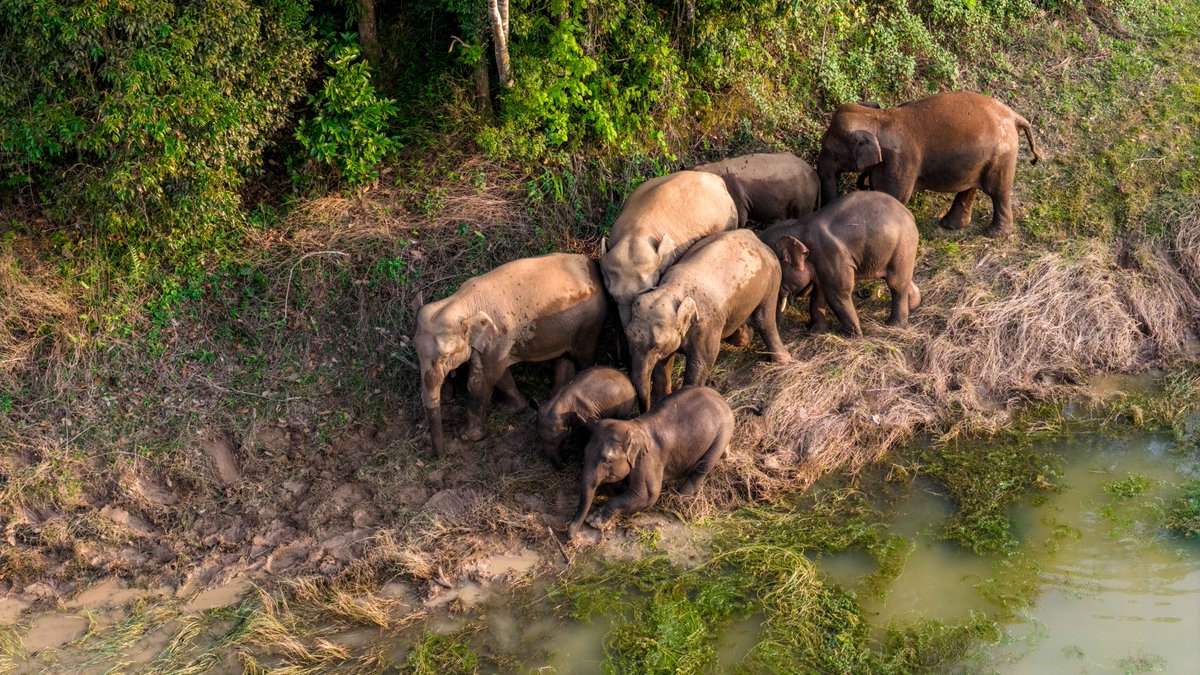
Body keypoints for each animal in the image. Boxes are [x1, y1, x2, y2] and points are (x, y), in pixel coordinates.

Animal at [414, 253, 607, 457]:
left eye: (444, 357)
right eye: (416, 352)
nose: (440, 455)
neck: (460, 302)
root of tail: (592, 264)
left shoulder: (498, 336)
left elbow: (481, 379)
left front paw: (468, 437)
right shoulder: (494, 343)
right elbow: (498, 374)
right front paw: (515, 408)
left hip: (591, 321)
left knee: (583, 357)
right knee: (566, 357)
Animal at [567, 386, 734, 535]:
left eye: (606, 459)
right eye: (585, 453)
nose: (571, 536)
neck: (633, 426)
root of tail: (722, 399)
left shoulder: (648, 461)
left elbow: (647, 496)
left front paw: (594, 520)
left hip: (723, 431)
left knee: (704, 465)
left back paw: (681, 496)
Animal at [626, 229, 792, 410]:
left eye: (657, 346)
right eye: (628, 335)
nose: (645, 410)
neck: (672, 289)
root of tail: (755, 237)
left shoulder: (707, 324)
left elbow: (703, 361)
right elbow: (664, 364)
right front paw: (663, 399)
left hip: (772, 277)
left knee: (763, 320)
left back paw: (784, 362)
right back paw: (744, 337)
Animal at [759, 191, 921, 337]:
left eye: (779, 275)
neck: (798, 226)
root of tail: (909, 214)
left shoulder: (831, 255)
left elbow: (838, 293)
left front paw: (852, 337)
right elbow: (818, 293)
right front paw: (816, 332)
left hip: (903, 246)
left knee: (896, 283)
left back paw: (894, 326)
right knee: (902, 279)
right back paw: (913, 306)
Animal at [816, 91, 1041, 238]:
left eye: (834, 154)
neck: (879, 118)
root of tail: (1014, 116)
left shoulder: (901, 162)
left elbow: (893, 196)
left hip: (1001, 156)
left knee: (998, 192)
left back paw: (994, 234)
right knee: (970, 187)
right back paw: (950, 226)